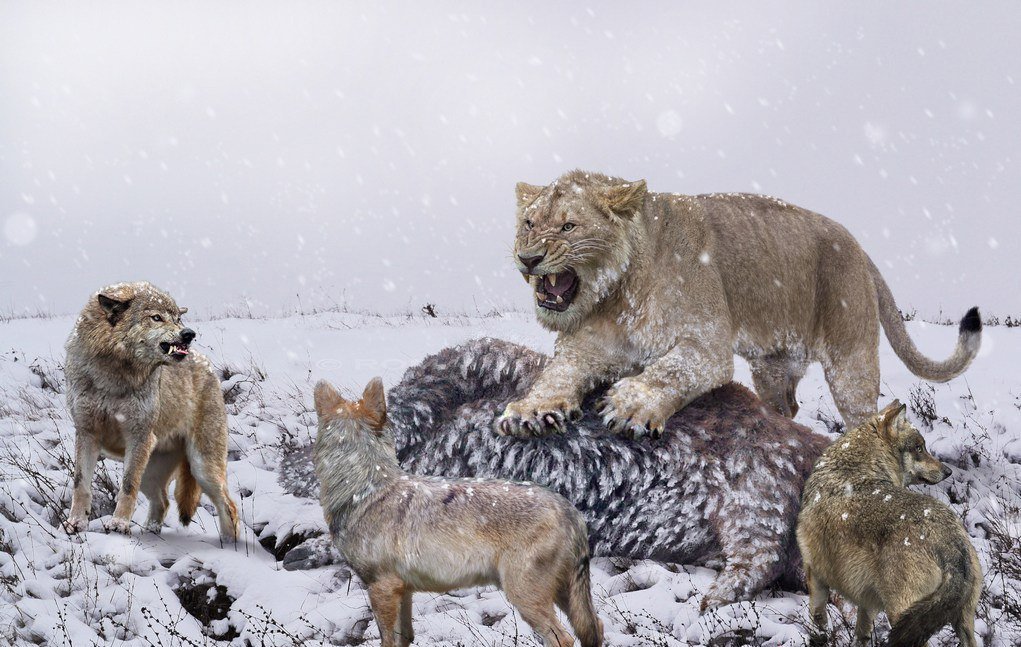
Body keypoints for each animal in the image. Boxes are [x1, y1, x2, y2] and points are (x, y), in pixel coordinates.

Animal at [63, 281, 238, 538]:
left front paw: (118, 525)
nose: (189, 334)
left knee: (229, 507)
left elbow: (127, 486)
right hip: (150, 473)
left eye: (178, 319)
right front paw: (75, 523)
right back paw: (150, 532)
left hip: (202, 469)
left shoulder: (139, 435)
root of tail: (209, 368)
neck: (113, 375)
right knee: (163, 502)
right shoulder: (87, 432)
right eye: (156, 317)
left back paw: (229, 544)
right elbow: (80, 484)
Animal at [314, 373, 600, 644]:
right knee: (596, 627)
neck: (363, 490)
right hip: (563, 597)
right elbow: (405, 637)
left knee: (564, 638)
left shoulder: (381, 587)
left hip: (525, 598)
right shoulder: (402, 590)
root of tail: (571, 510)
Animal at [494, 168, 980, 436]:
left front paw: (631, 405)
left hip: (851, 358)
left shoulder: (706, 344)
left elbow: (671, 369)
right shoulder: (588, 344)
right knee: (787, 407)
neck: (616, 295)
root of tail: (860, 248)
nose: (528, 258)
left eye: (568, 227)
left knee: (866, 416)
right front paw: (529, 410)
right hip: (772, 365)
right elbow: (559, 373)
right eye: (529, 223)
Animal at [796, 400, 980, 640]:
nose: (948, 471)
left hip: (901, 614)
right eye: (919, 448)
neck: (854, 466)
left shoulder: (815, 574)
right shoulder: (867, 600)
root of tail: (953, 544)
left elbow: (818, 623)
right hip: (962, 623)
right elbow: (862, 636)